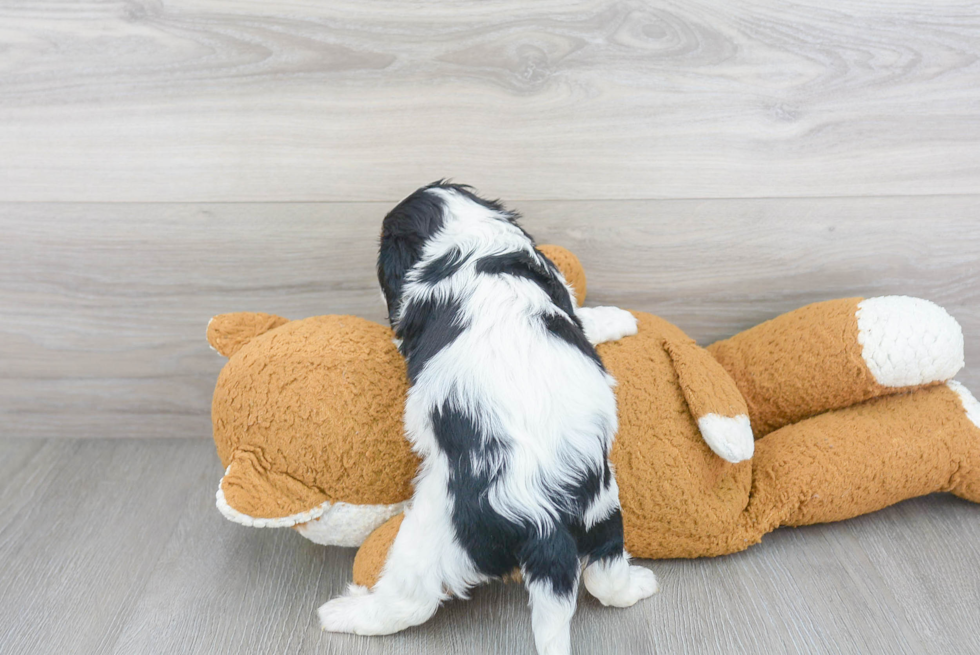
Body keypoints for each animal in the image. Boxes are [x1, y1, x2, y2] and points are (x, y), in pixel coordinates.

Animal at [322, 183, 660, 655]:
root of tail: (543, 518)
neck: (467, 241)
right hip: (603, 512)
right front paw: (621, 319)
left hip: (433, 533)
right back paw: (638, 585)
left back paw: (343, 613)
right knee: (605, 572)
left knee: (409, 602)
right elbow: (580, 314)